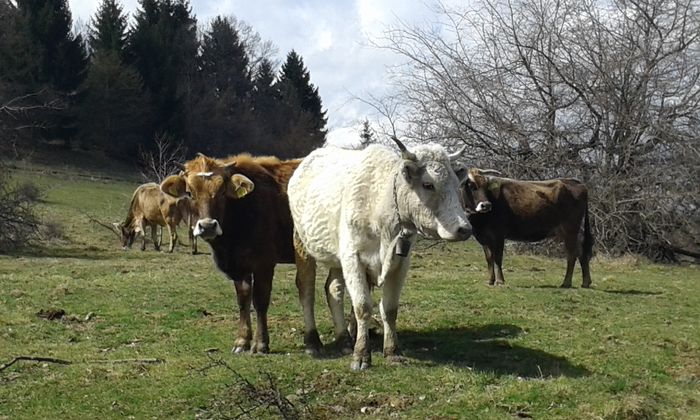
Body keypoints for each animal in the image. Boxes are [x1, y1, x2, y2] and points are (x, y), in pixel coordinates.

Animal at [160, 153, 300, 352]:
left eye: (222, 191)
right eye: (190, 192)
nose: (208, 226)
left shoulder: (264, 263)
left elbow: (260, 301)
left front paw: (260, 343)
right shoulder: (239, 266)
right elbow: (243, 300)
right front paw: (242, 341)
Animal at [288, 138, 474, 370]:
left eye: (456, 186)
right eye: (428, 184)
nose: (464, 229)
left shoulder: (400, 262)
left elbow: (390, 309)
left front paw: (392, 351)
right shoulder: (352, 258)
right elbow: (362, 306)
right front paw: (361, 355)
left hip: (337, 258)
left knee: (334, 290)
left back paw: (344, 340)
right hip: (302, 244)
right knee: (307, 291)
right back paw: (313, 342)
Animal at [462, 169, 592, 288]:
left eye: (485, 187)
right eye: (471, 186)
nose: (486, 205)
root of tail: (576, 182)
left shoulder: (499, 235)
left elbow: (498, 258)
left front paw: (500, 281)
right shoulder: (484, 238)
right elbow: (489, 259)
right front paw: (490, 280)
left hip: (570, 228)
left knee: (572, 254)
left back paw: (566, 283)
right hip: (569, 231)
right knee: (581, 252)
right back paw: (585, 282)